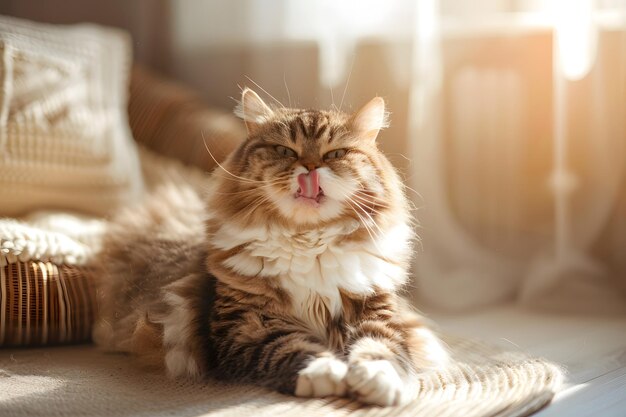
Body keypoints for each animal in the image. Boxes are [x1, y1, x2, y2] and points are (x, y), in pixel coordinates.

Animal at [91, 87, 444, 404]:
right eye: (286, 151)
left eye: (335, 154)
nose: (311, 168)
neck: (309, 244)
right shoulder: (249, 323)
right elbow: (288, 347)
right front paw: (325, 373)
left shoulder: (373, 307)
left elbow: (382, 347)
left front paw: (377, 381)